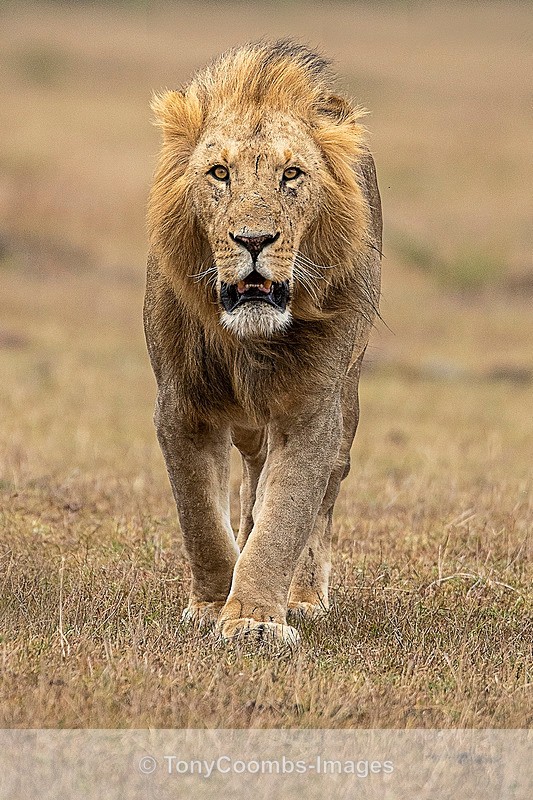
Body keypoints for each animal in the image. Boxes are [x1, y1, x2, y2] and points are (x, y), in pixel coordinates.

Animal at [144, 40, 382, 646]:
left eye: (291, 174)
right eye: (219, 173)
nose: (254, 240)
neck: (248, 343)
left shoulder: (312, 410)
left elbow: (286, 519)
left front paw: (255, 617)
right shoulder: (181, 406)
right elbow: (201, 517)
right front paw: (212, 604)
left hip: (347, 402)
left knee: (319, 501)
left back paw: (303, 598)